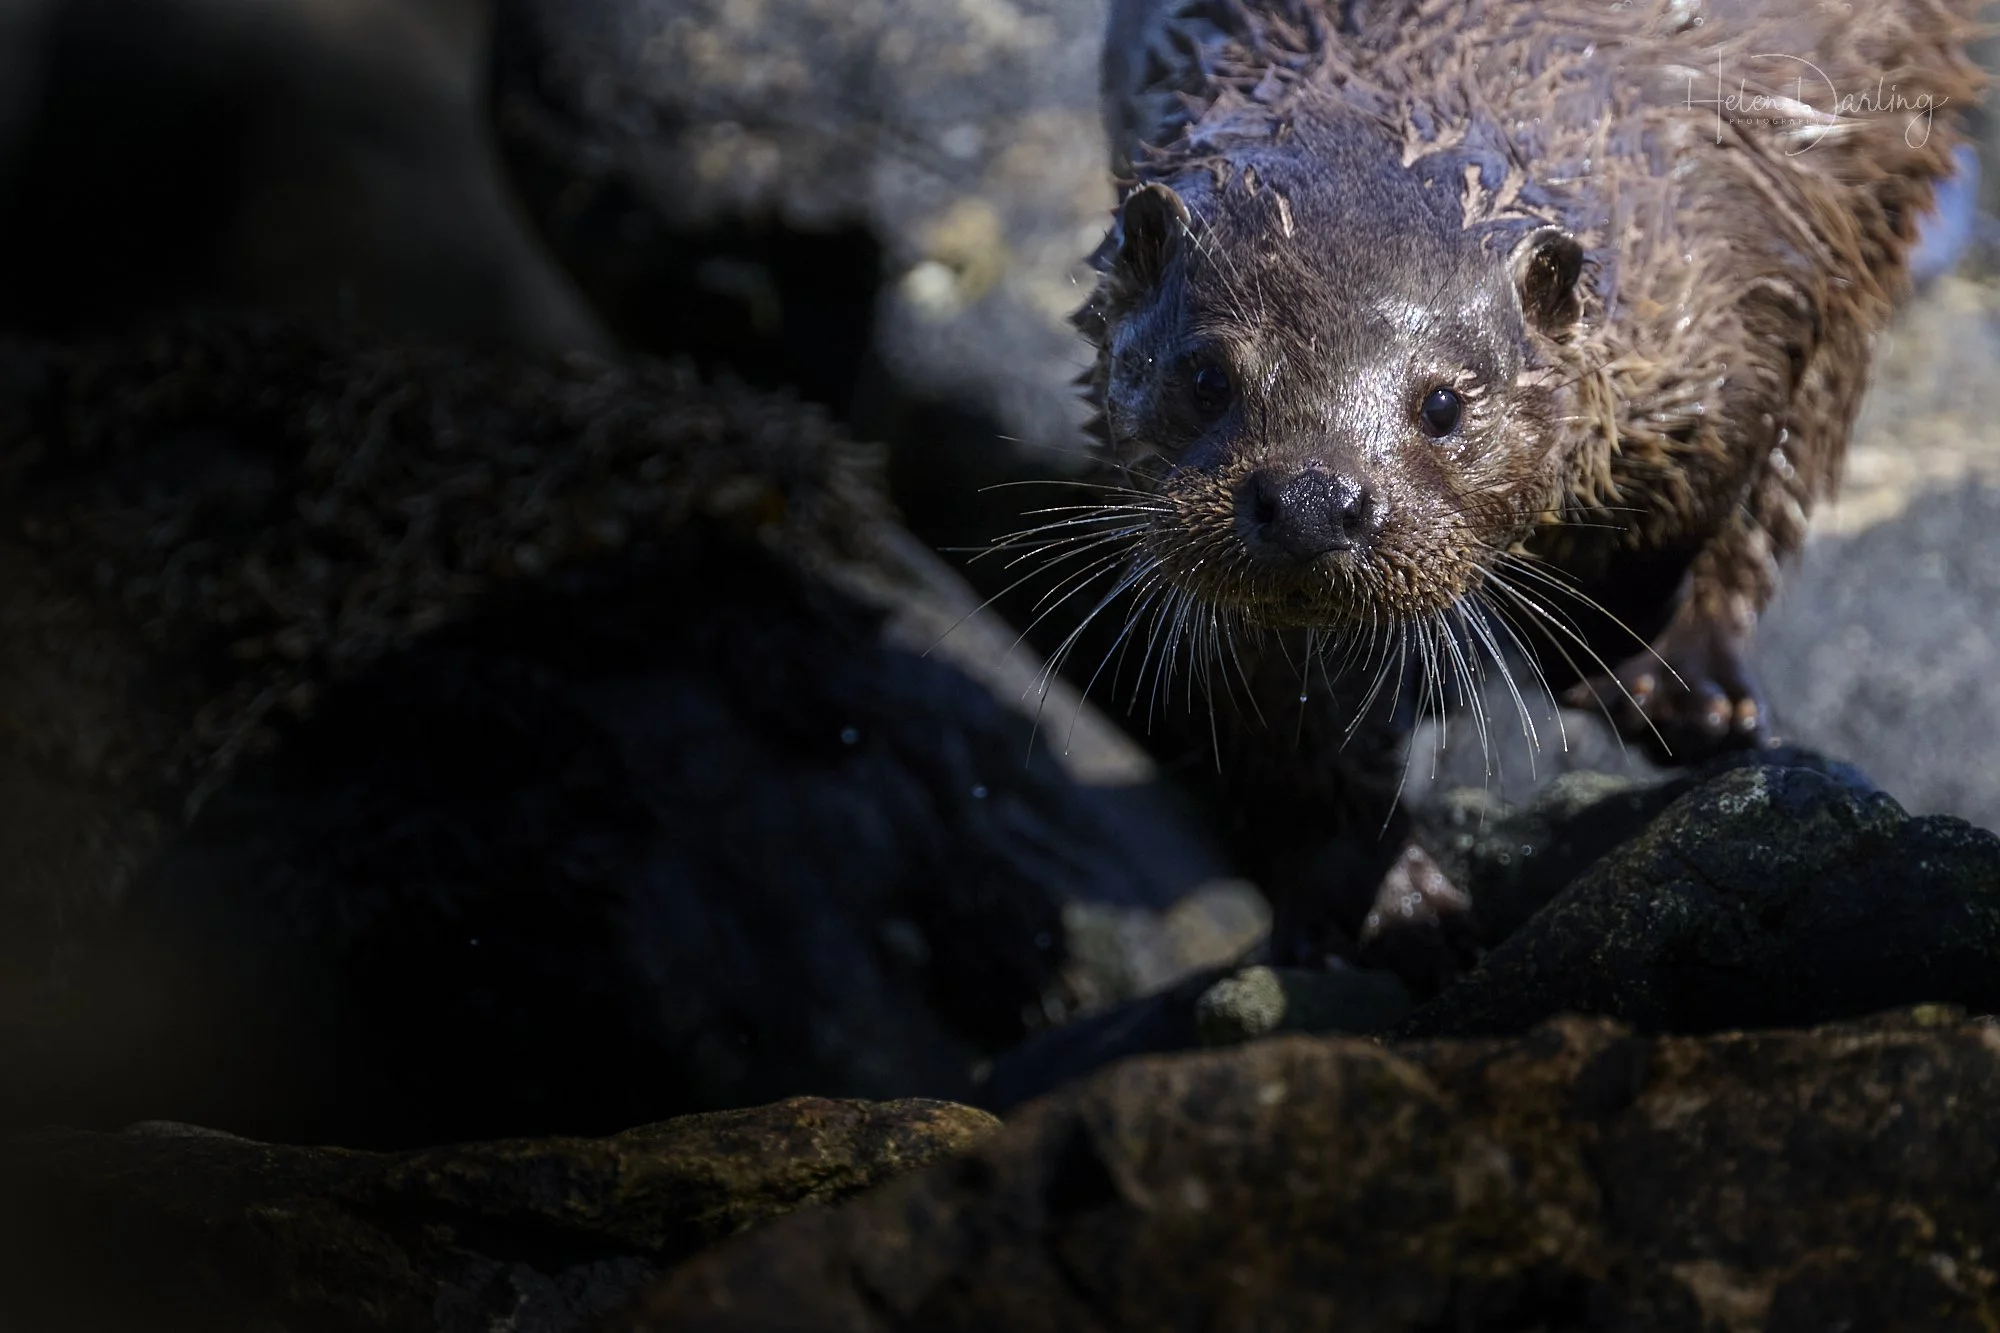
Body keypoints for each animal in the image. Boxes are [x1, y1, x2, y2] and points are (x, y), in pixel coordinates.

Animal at [1042, 0, 1982, 972]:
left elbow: (1689, 508)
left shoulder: (1742, 301)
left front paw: (1629, 663)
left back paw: (1697, 694)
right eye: (1205, 377)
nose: (1308, 501)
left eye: (1443, 402)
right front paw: (1378, 907)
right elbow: (1274, 707)